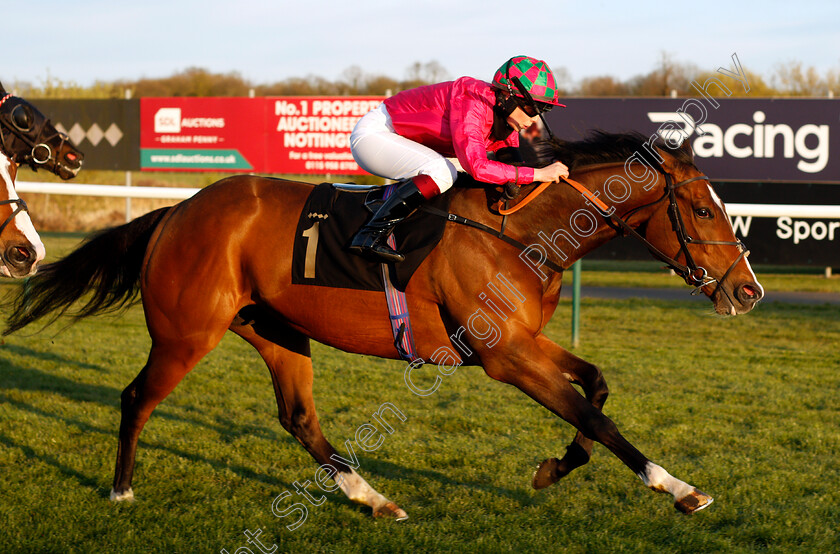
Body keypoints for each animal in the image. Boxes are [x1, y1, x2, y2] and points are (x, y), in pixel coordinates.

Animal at [1, 133, 760, 516]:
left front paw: (552, 468)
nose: (747, 291)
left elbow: (595, 389)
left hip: (274, 329)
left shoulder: (521, 342)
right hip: (187, 333)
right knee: (137, 398)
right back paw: (122, 488)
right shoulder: (506, 356)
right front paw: (677, 487)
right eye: (700, 209)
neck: (520, 233)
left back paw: (370, 496)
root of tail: (178, 210)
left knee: (298, 417)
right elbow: (598, 416)